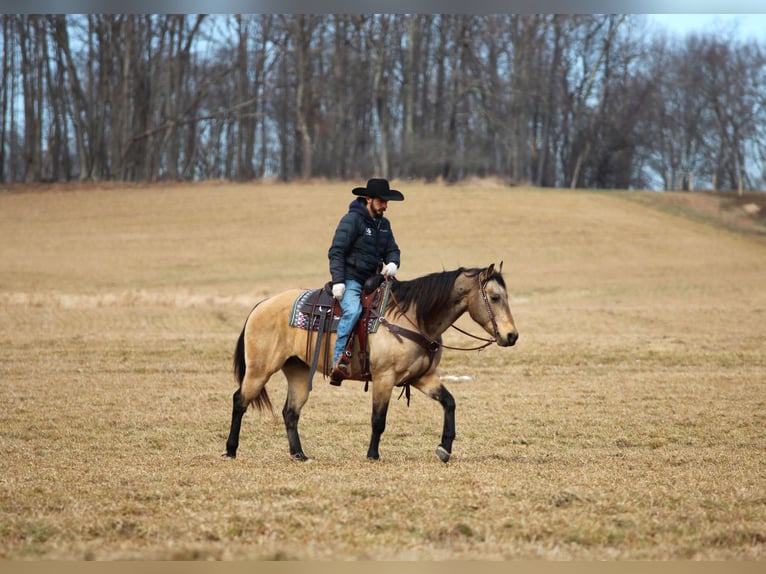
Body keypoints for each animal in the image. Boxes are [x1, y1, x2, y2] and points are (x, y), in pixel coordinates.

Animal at [223, 263, 518, 463]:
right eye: (494, 297)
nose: (511, 336)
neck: (414, 317)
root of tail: (262, 304)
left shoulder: (423, 377)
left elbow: (449, 402)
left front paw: (444, 448)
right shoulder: (384, 378)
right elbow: (378, 419)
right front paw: (373, 454)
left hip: (298, 371)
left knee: (290, 412)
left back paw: (299, 454)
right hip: (260, 370)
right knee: (240, 400)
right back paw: (230, 449)